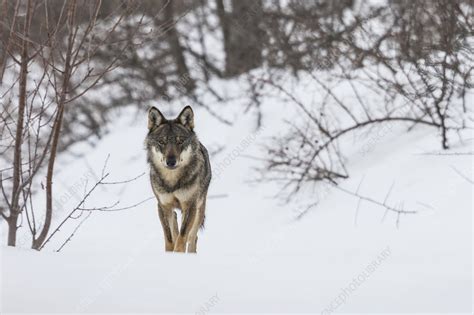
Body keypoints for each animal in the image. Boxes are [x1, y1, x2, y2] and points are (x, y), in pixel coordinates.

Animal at [144, 106, 211, 254]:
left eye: (180, 141)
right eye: (162, 142)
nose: (171, 161)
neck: (172, 182)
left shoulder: (190, 206)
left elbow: (183, 235)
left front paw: (178, 254)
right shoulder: (163, 206)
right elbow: (169, 237)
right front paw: (170, 254)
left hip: (200, 208)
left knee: (192, 237)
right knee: (175, 222)